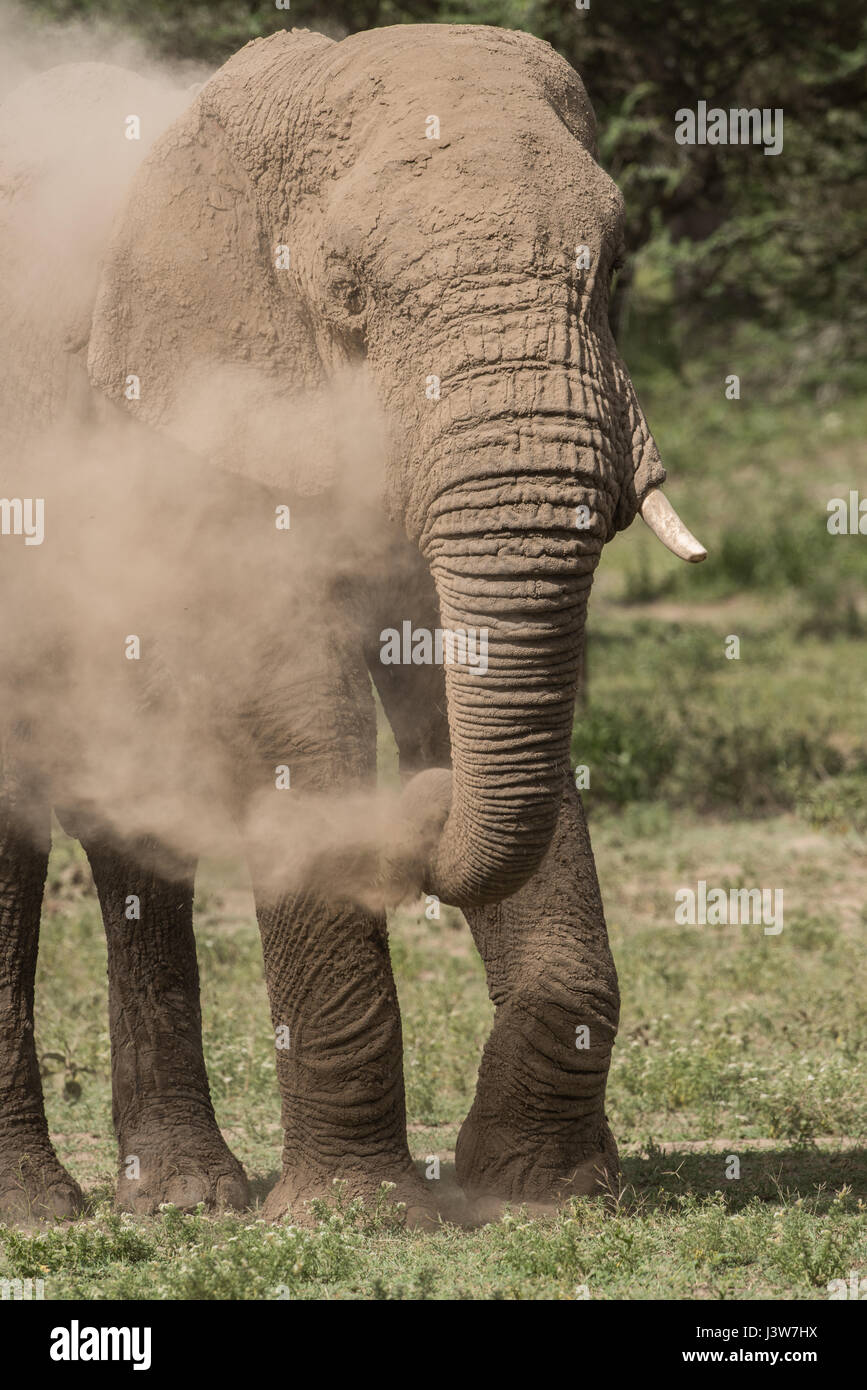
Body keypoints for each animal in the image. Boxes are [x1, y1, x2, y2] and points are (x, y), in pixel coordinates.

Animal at [0, 24, 705, 1225]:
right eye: (349, 295)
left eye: (611, 266)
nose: (416, 815)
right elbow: (297, 701)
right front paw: (358, 1215)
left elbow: (466, 687)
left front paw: (538, 1193)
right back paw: (41, 1208)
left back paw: (184, 1198)